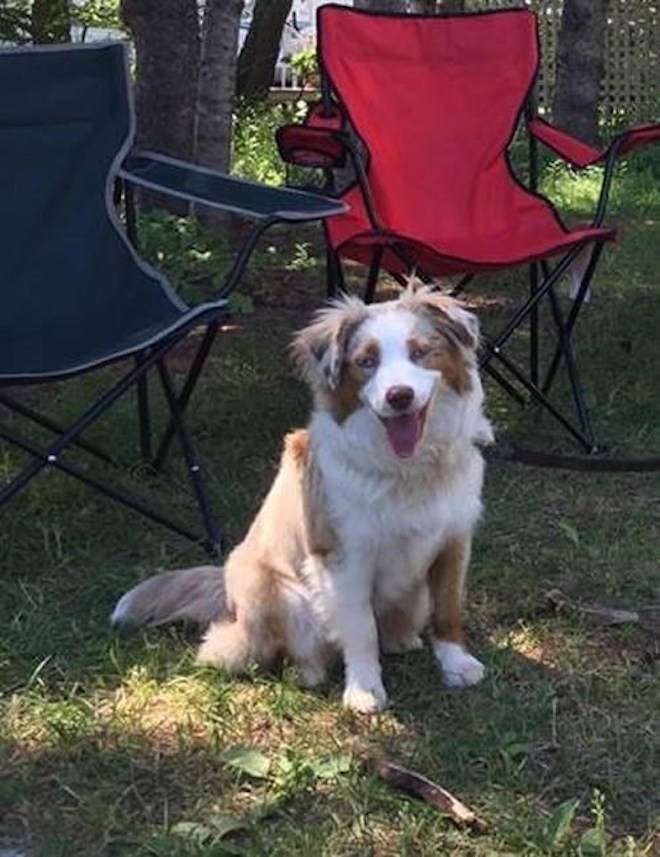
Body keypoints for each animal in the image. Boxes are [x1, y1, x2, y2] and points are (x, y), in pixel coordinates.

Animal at [111, 284, 492, 712]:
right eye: (366, 361)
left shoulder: (453, 540)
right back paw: (307, 672)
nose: (399, 396)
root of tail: (226, 590)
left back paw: (402, 640)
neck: (409, 471)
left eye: (420, 351)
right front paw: (364, 690)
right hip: (280, 593)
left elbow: (448, 609)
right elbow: (361, 628)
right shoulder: (343, 557)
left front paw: (457, 664)